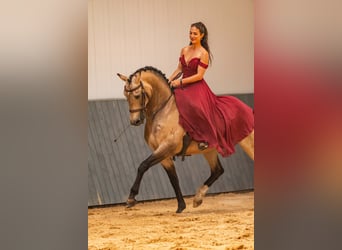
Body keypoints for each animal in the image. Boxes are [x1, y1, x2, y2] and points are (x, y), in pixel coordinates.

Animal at [117, 66, 254, 213]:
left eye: (137, 95)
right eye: (126, 96)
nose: (135, 121)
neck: (164, 111)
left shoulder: (167, 147)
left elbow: (142, 166)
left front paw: (131, 198)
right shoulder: (163, 154)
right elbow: (173, 179)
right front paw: (181, 206)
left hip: (248, 142)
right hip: (209, 150)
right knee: (217, 170)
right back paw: (198, 198)